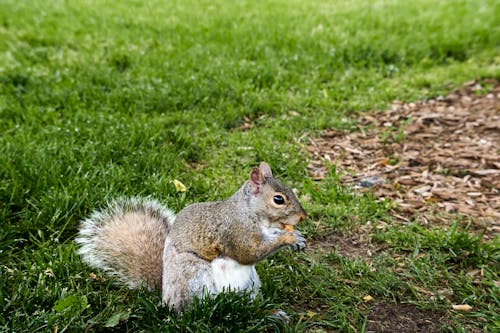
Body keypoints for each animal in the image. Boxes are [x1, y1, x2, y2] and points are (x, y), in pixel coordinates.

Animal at [76, 161, 306, 312]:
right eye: (278, 199)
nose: (303, 217)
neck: (250, 212)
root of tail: (164, 296)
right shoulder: (235, 231)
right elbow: (250, 253)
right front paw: (289, 239)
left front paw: (296, 237)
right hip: (193, 274)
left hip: (250, 282)